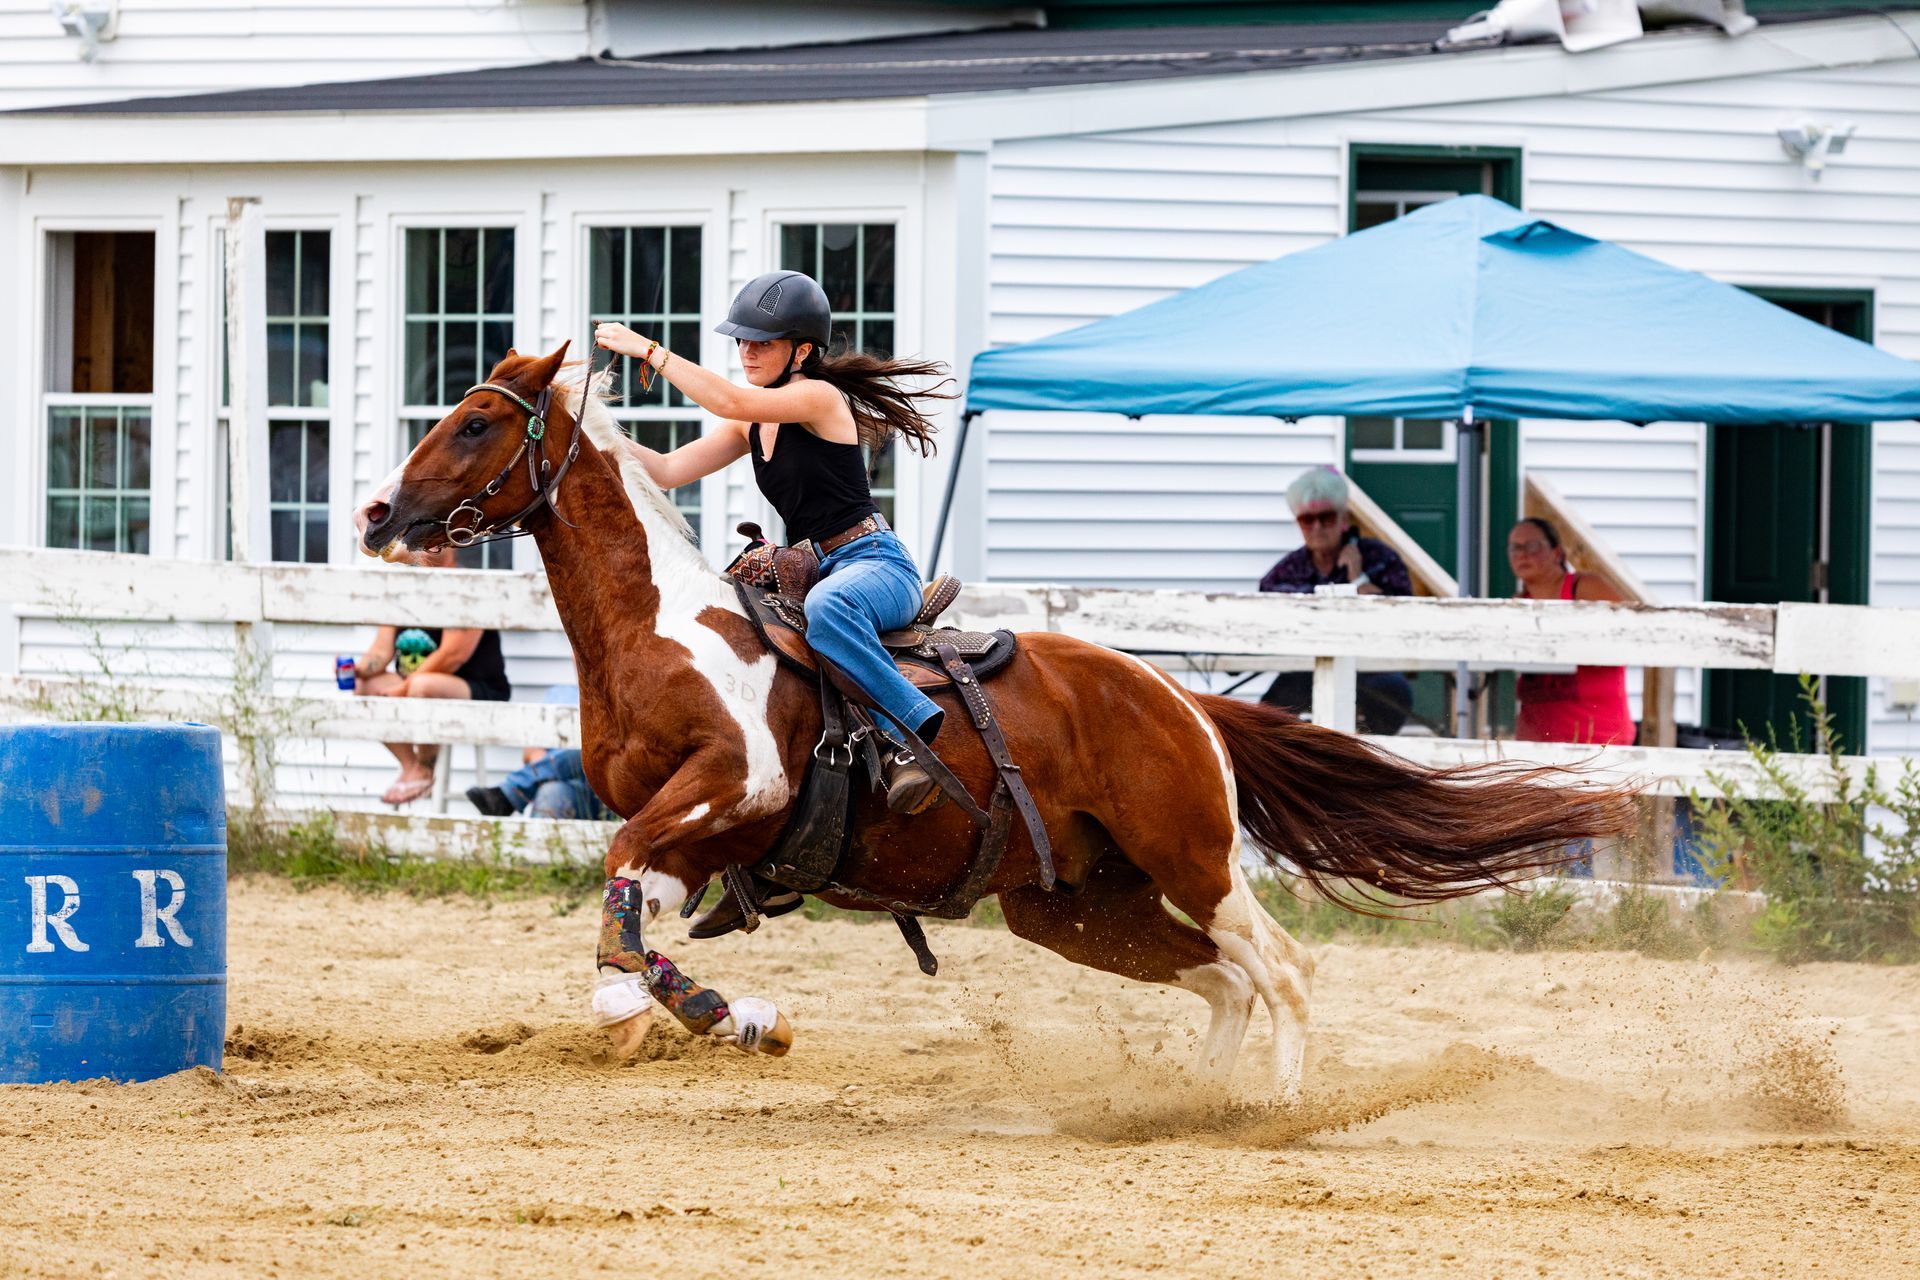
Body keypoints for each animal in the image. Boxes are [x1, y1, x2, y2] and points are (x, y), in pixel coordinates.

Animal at [355, 345, 1634, 1100]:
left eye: (476, 423)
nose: (375, 511)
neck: (661, 628)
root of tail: (1180, 696)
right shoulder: (694, 835)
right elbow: (626, 917)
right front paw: (714, 1013)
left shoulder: (734, 789)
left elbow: (621, 883)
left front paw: (707, 1012)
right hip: (1076, 904)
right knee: (1221, 978)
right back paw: (1203, 1105)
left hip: (1195, 854)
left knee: (1281, 964)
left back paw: (1274, 1109)